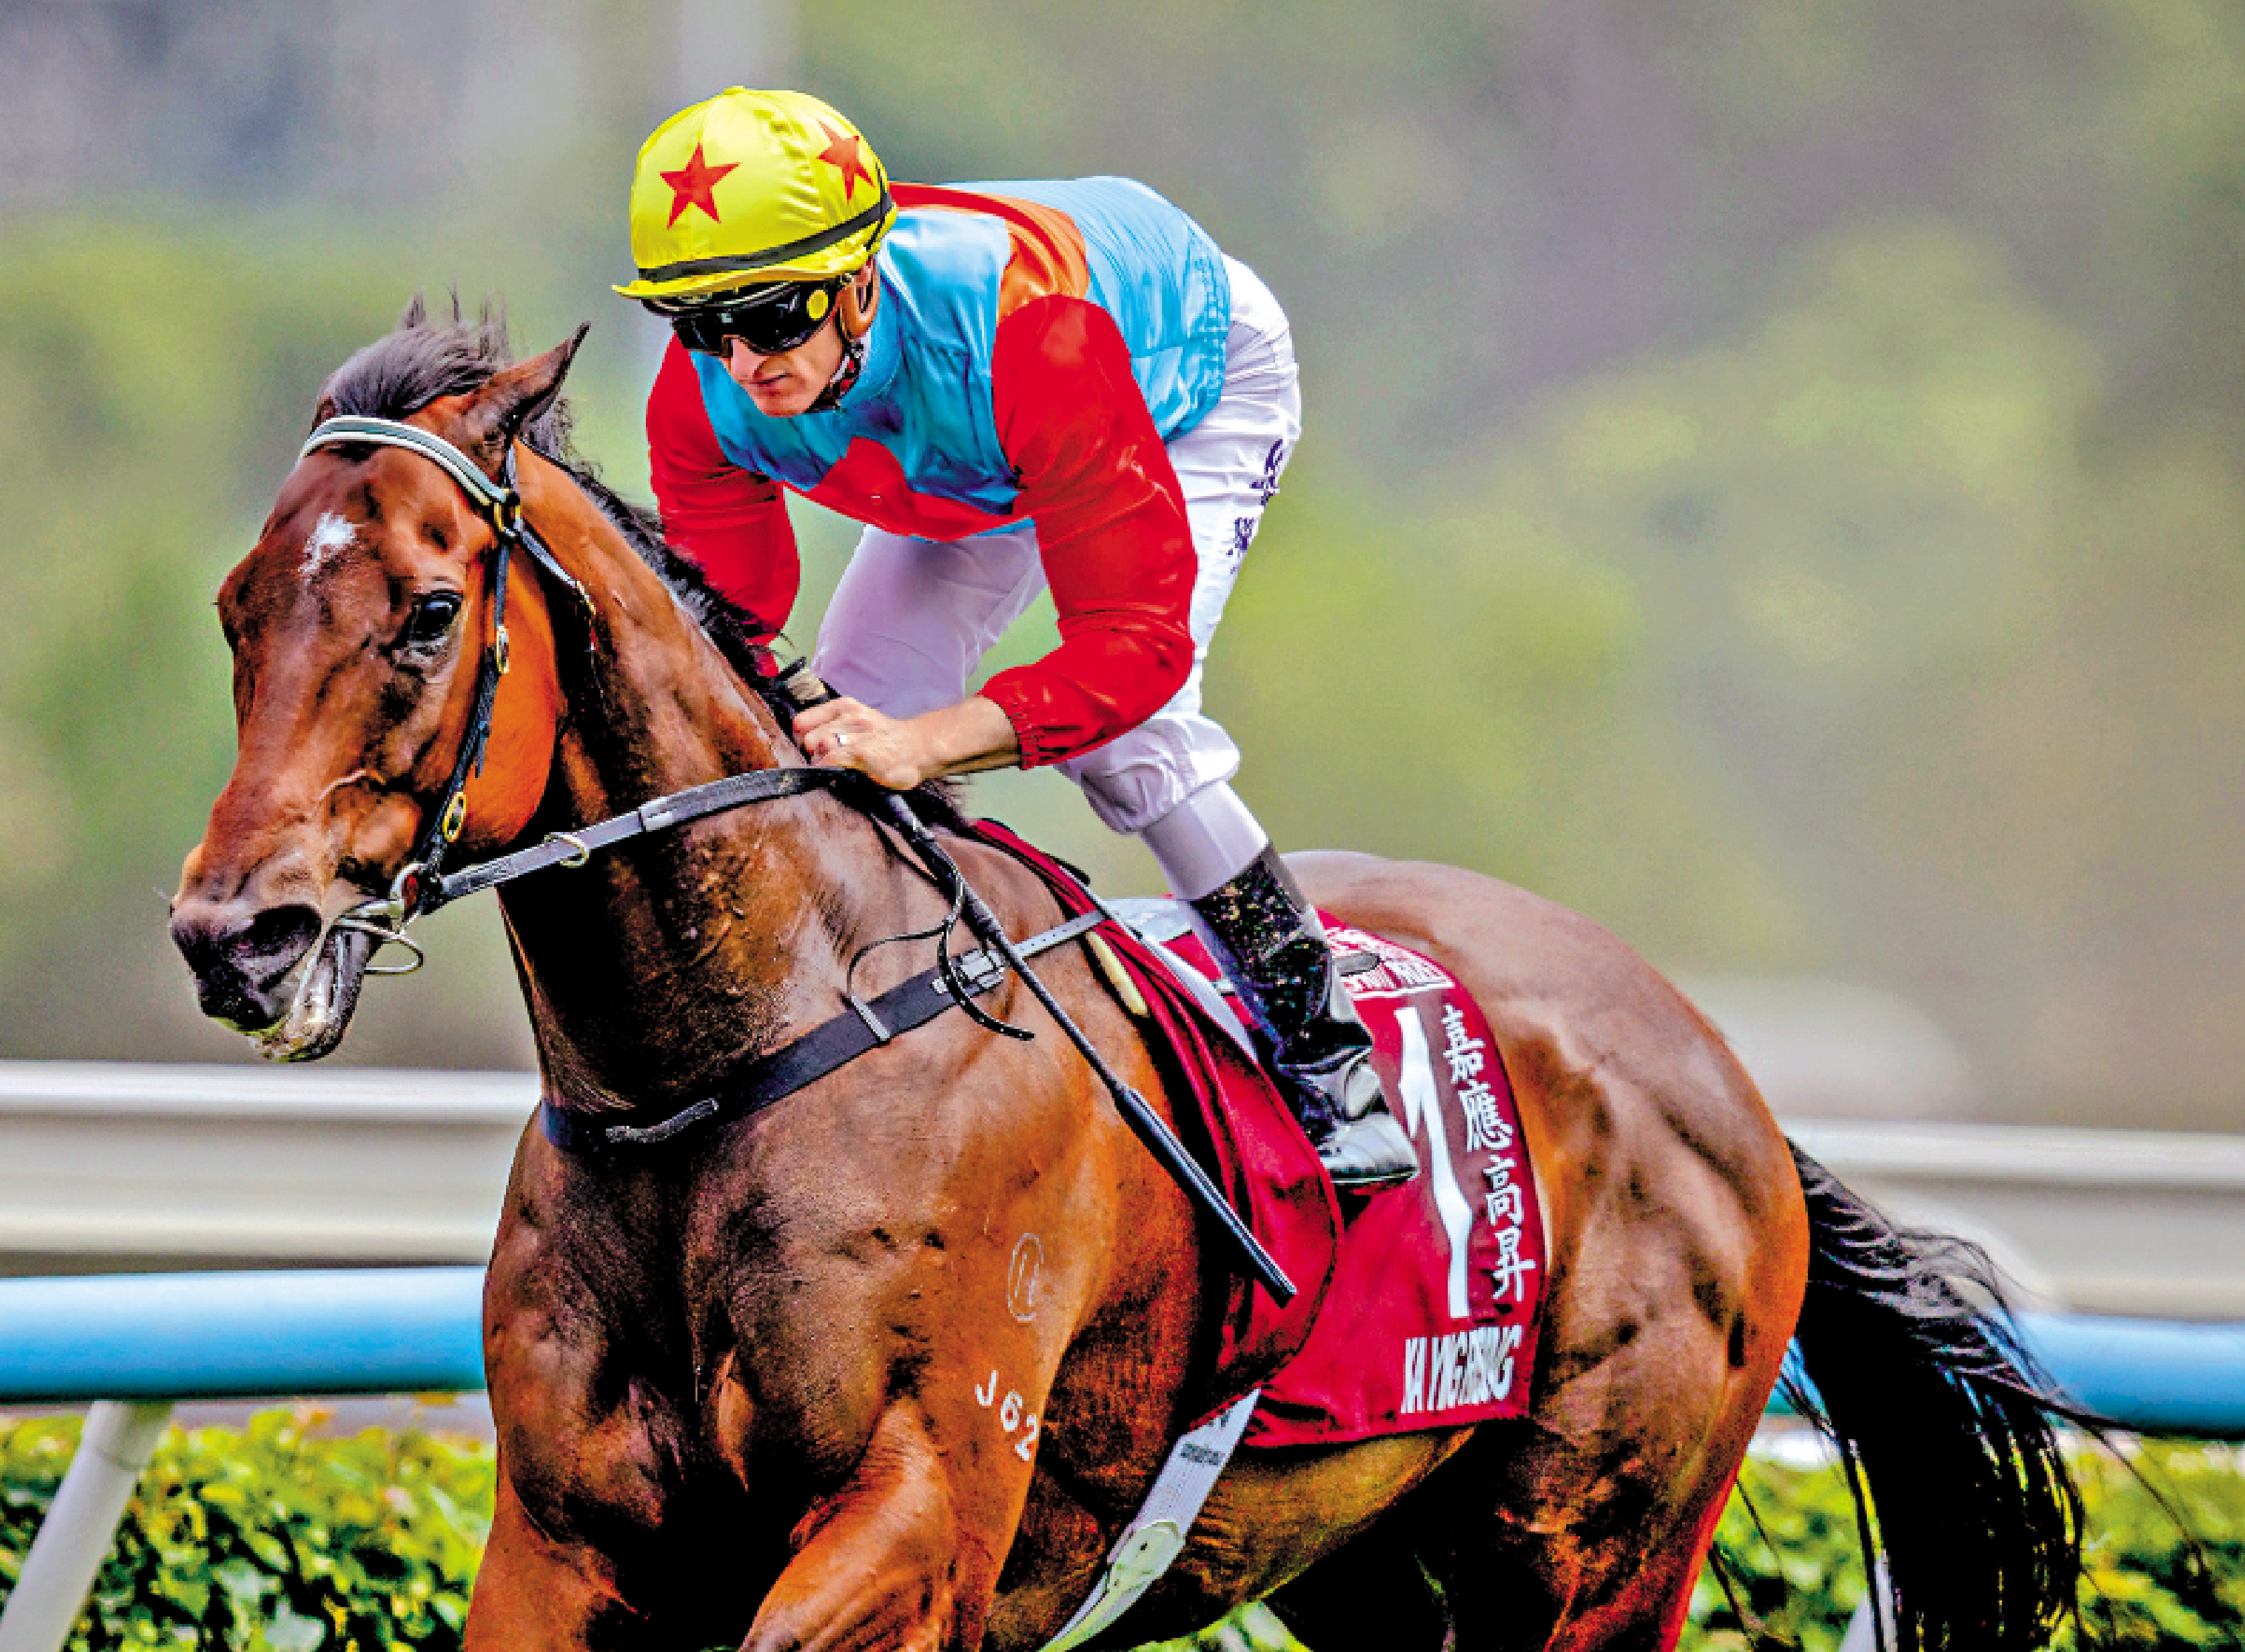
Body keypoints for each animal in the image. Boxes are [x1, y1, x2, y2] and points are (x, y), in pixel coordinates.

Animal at [169, 304, 2085, 1652]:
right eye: (237, 608)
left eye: (427, 610)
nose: (236, 936)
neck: (726, 1066)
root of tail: (1721, 1069)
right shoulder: (565, 1536)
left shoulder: (918, 1520)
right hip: (1369, 1557)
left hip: (1590, 1559)